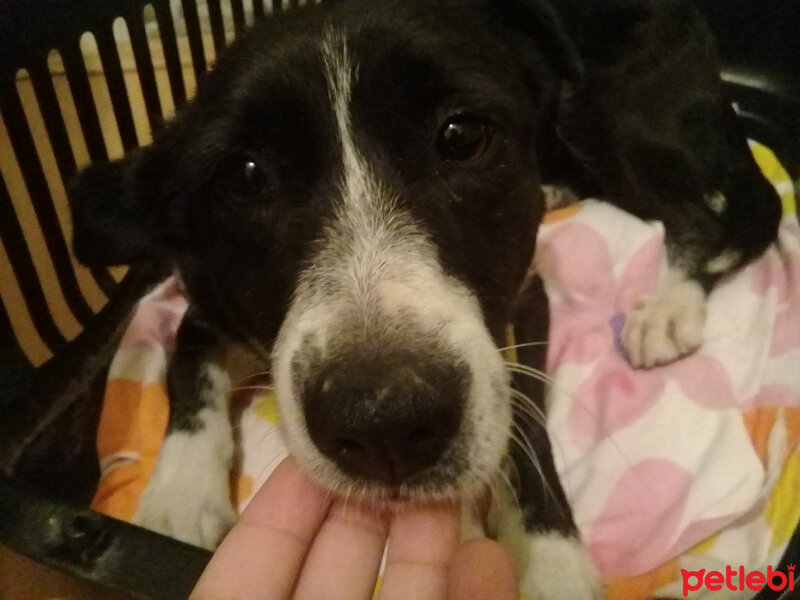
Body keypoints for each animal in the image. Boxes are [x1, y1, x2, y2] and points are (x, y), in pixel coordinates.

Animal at [69, 0, 780, 596]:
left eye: (462, 136)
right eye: (244, 176)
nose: (384, 421)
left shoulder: (524, 294)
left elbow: (525, 414)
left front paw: (550, 558)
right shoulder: (216, 298)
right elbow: (186, 358)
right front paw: (179, 495)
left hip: (604, 114)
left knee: (716, 214)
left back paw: (671, 308)